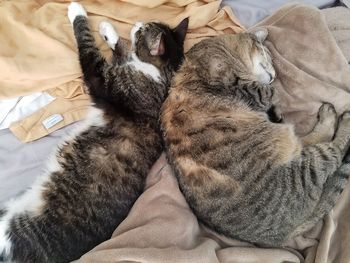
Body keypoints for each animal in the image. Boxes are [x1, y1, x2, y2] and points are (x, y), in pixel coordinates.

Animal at [0, 2, 189, 263]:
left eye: (143, 31)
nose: (138, 23)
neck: (159, 74)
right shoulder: (120, 68)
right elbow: (120, 49)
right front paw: (109, 30)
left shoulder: (104, 80)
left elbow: (89, 47)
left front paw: (77, 12)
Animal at [161, 29, 350, 249]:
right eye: (269, 57)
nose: (274, 75)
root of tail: (280, 236)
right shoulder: (252, 89)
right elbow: (270, 92)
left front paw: (275, 108)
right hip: (304, 165)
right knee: (333, 150)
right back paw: (337, 118)